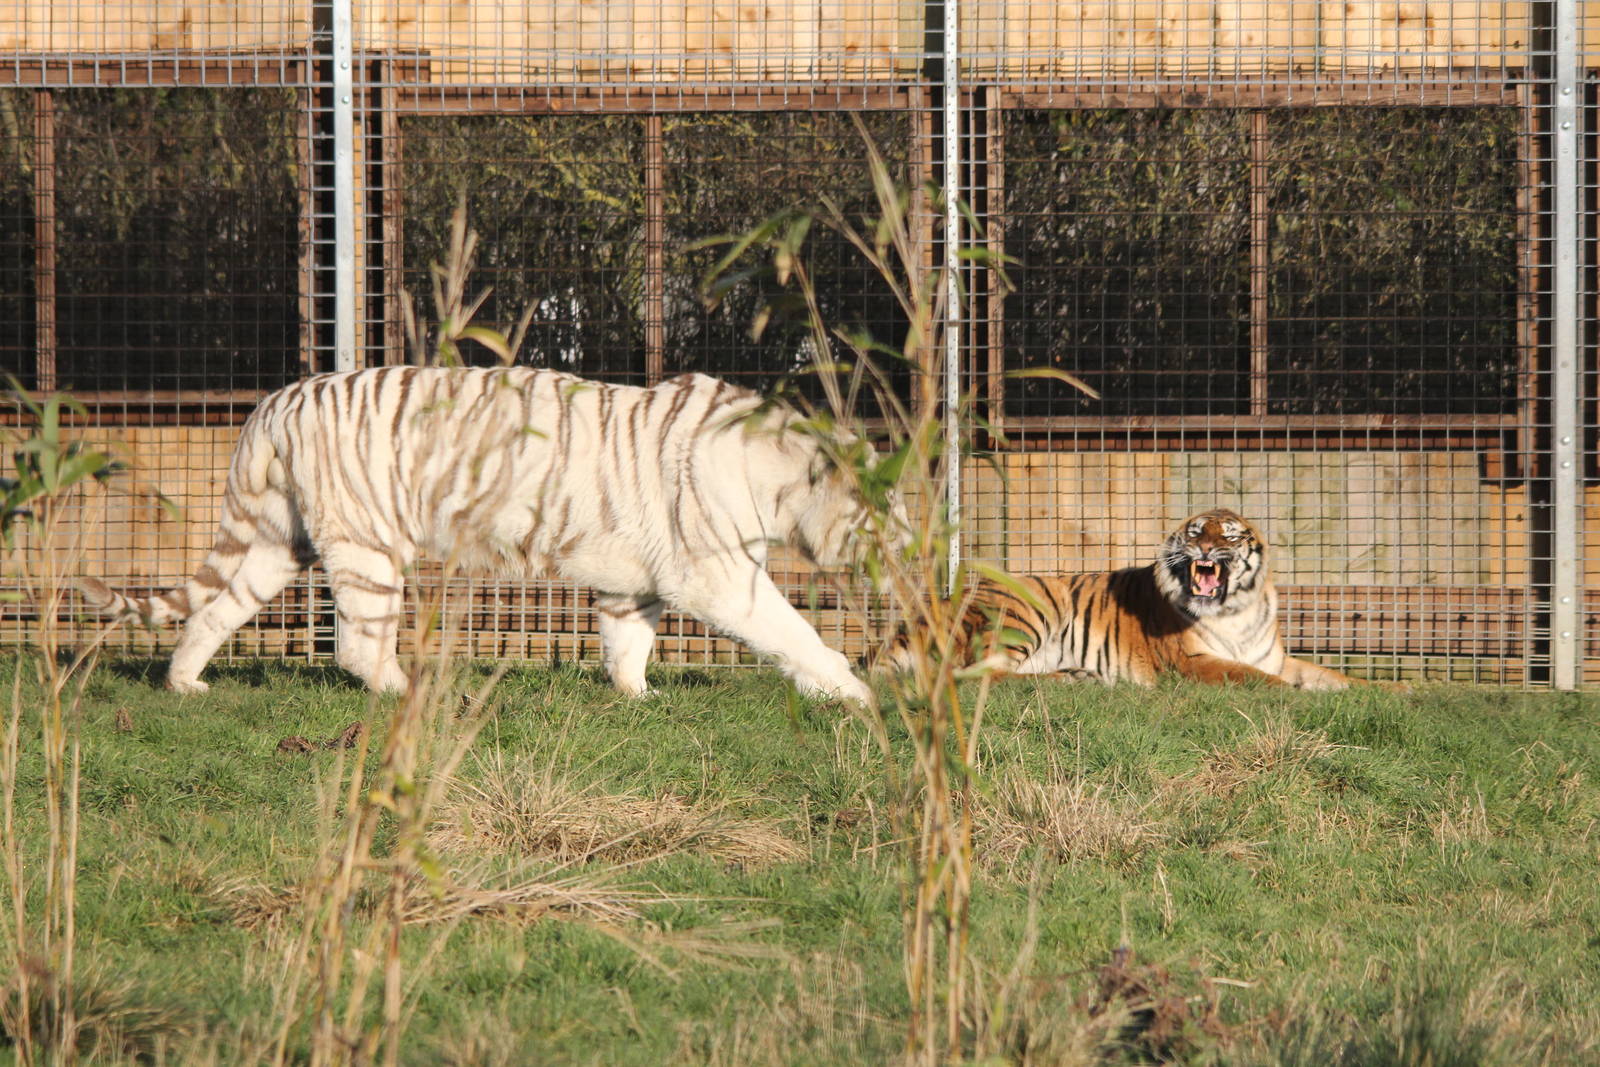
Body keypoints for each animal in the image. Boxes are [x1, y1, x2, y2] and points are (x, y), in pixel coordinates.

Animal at [83, 365, 898, 705]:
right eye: (884, 516)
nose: (906, 563)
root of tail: (272, 404)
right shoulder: (719, 573)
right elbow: (793, 631)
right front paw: (855, 692)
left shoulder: (633, 581)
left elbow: (628, 640)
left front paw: (636, 696)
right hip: (369, 543)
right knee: (358, 645)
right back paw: (413, 689)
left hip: (277, 541)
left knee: (216, 609)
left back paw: (186, 683)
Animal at [883, 507, 1359, 690]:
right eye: (1195, 531)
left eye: (1228, 535)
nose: (1204, 548)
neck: (1234, 611)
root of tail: (944, 601)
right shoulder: (1193, 661)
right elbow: (1251, 676)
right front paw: (1291, 692)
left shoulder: (1275, 657)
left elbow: (1333, 677)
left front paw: (1376, 691)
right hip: (1027, 610)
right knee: (972, 675)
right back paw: (1071, 679)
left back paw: (1076, 675)